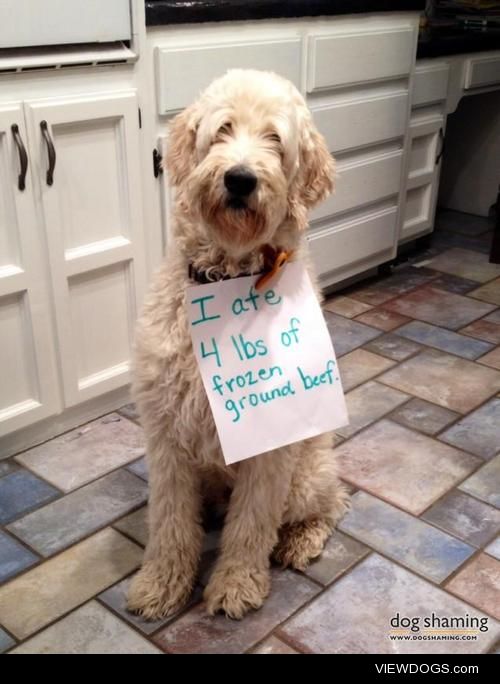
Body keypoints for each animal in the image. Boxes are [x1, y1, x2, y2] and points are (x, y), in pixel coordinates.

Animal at [129, 69, 348, 620]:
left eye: (275, 139)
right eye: (223, 129)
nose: (240, 179)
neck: (229, 273)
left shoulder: (271, 450)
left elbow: (251, 527)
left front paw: (235, 586)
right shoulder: (167, 439)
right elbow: (169, 522)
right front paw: (161, 584)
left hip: (307, 475)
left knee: (331, 503)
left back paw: (301, 541)